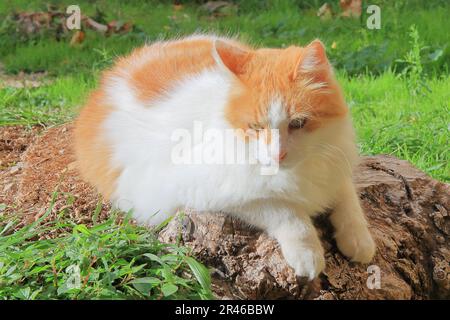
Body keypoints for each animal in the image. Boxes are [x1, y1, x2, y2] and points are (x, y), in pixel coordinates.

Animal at [74, 35, 376, 278]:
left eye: (298, 123)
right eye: (256, 127)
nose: (278, 154)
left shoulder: (335, 166)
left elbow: (348, 199)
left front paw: (359, 239)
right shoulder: (208, 191)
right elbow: (287, 212)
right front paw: (308, 253)